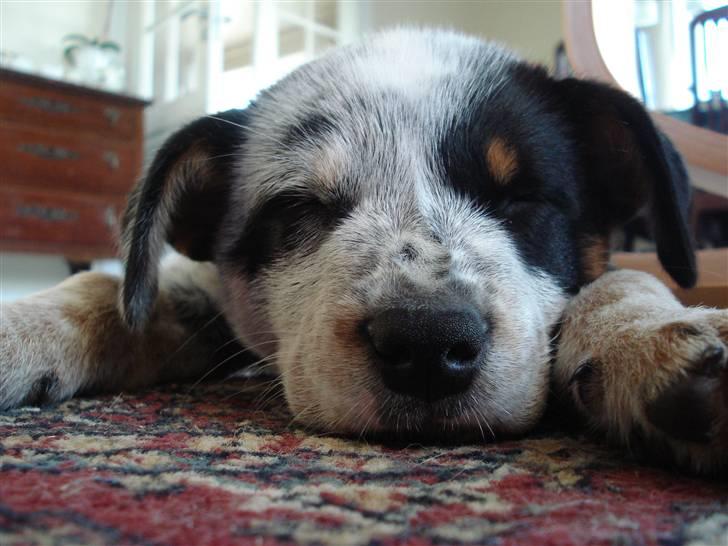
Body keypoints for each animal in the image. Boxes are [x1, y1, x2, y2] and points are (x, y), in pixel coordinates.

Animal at [1, 28, 728, 472]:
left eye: (522, 198)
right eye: (299, 208)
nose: (429, 344)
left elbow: (620, 281)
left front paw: (649, 337)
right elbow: (111, 289)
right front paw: (19, 329)